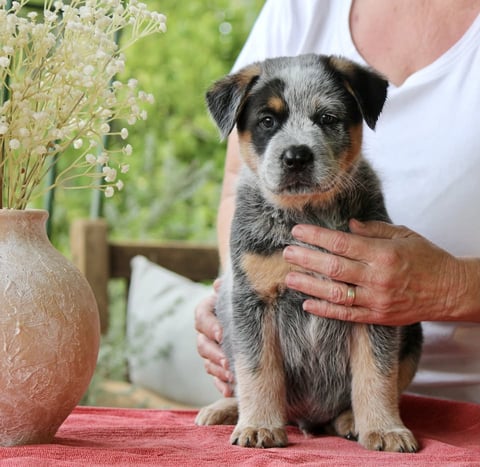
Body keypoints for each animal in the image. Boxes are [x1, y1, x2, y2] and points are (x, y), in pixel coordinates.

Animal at [194, 54, 420, 454]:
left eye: (327, 118)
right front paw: (259, 425)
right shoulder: (253, 300)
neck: (306, 214)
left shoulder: (374, 300)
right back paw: (227, 408)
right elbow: (258, 370)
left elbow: (376, 373)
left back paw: (350, 420)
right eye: (267, 121)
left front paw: (385, 429)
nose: (296, 156)